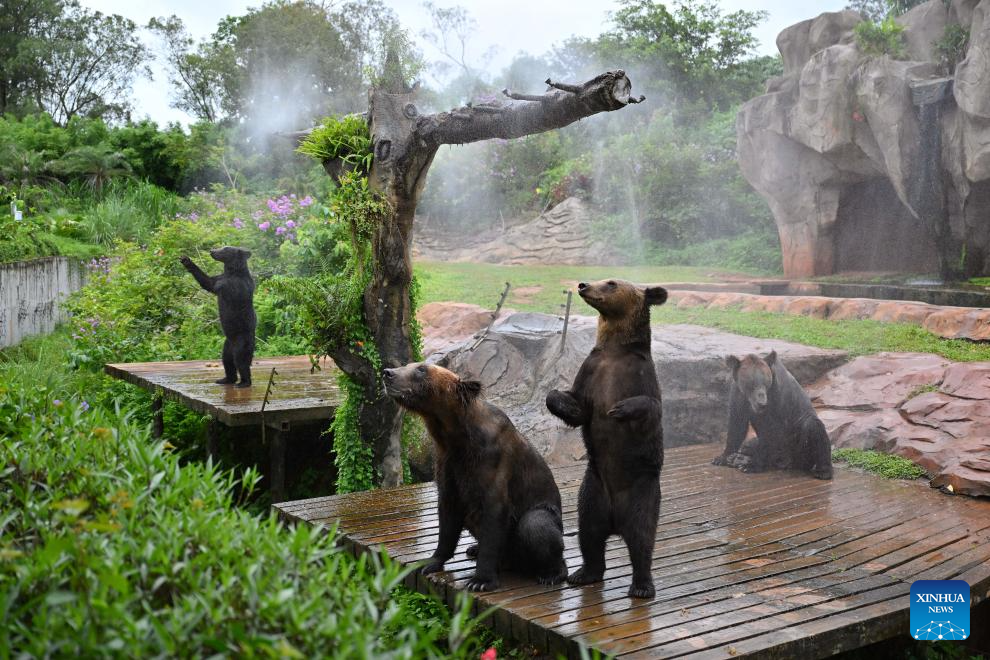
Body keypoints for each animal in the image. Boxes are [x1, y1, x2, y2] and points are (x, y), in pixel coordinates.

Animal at [386, 360, 568, 592]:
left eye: (421, 369)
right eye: (410, 365)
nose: (388, 373)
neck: (456, 438)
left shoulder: (492, 464)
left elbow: (494, 518)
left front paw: (480, 580)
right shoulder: (448, 465)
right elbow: (447, 519)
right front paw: (430, 563)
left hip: (543, 515)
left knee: (536, 524)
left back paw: (551, 574)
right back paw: (473, 548)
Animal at [548, 278, 672, 600]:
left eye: (611, 283)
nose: (583, 284)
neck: (615, 350)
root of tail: (615, 521)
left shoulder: (640, 374)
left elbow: (651, 406)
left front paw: (619, 409)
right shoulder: (591, 370)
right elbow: (574, 405)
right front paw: (564, 403)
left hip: (642, 492)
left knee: (642, 537)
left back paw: (642, 585)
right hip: (593, 490)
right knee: (589, 533)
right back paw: (583, 573)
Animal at [712, 350, 836, 480]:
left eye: (765, 382)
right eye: (751, 383)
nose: (762, 403)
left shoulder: (778, 400)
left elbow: (771, 432)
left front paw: (752, 466)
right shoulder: (738, 395)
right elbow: (737, 425)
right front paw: (722, 457)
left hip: (798, 448)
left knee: (813, 428)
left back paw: (823, 471)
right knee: (748, 444)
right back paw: (738, 458)